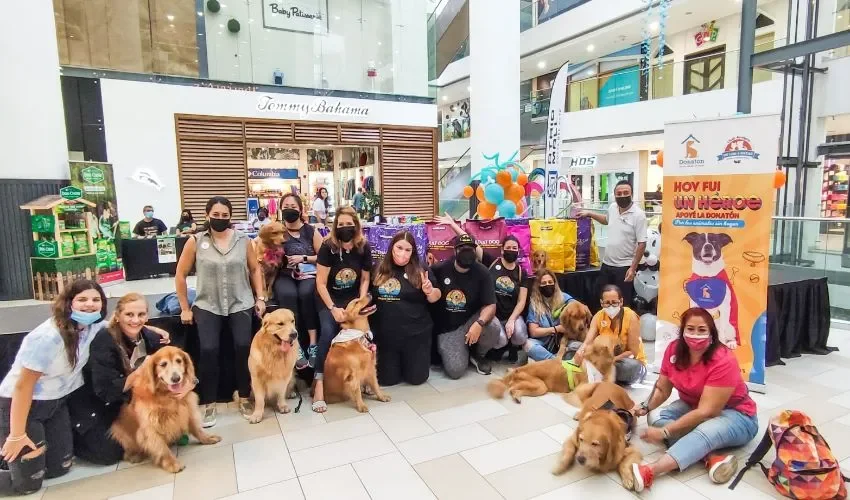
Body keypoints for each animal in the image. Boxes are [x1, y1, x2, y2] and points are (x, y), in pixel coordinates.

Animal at [484, 338, 616, 404]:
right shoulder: (580, 389)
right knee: (512, 389)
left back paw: (517, 397)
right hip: (540, 385)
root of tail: (517, 369)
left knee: (514, 390)